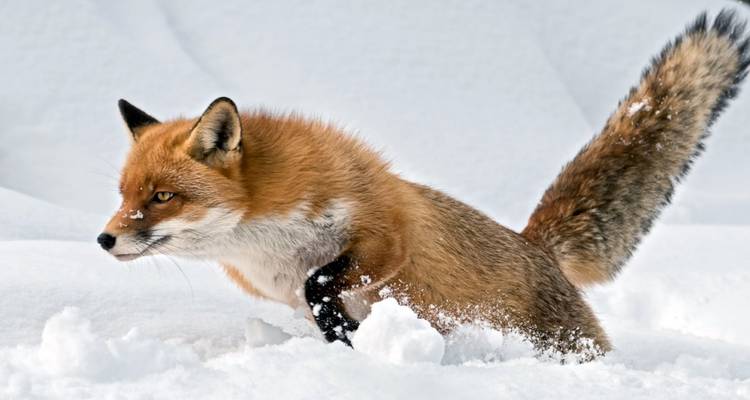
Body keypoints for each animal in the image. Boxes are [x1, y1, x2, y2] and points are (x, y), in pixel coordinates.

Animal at [99, 10, 749, 358]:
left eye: (163, 197)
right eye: (125, 195)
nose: (104, 240)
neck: (264, 239)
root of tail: (535, 245)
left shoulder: (383, 234)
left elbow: (321, 281)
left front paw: (350, 334)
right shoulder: (283, 288)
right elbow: (319, 304)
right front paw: (348, 343)